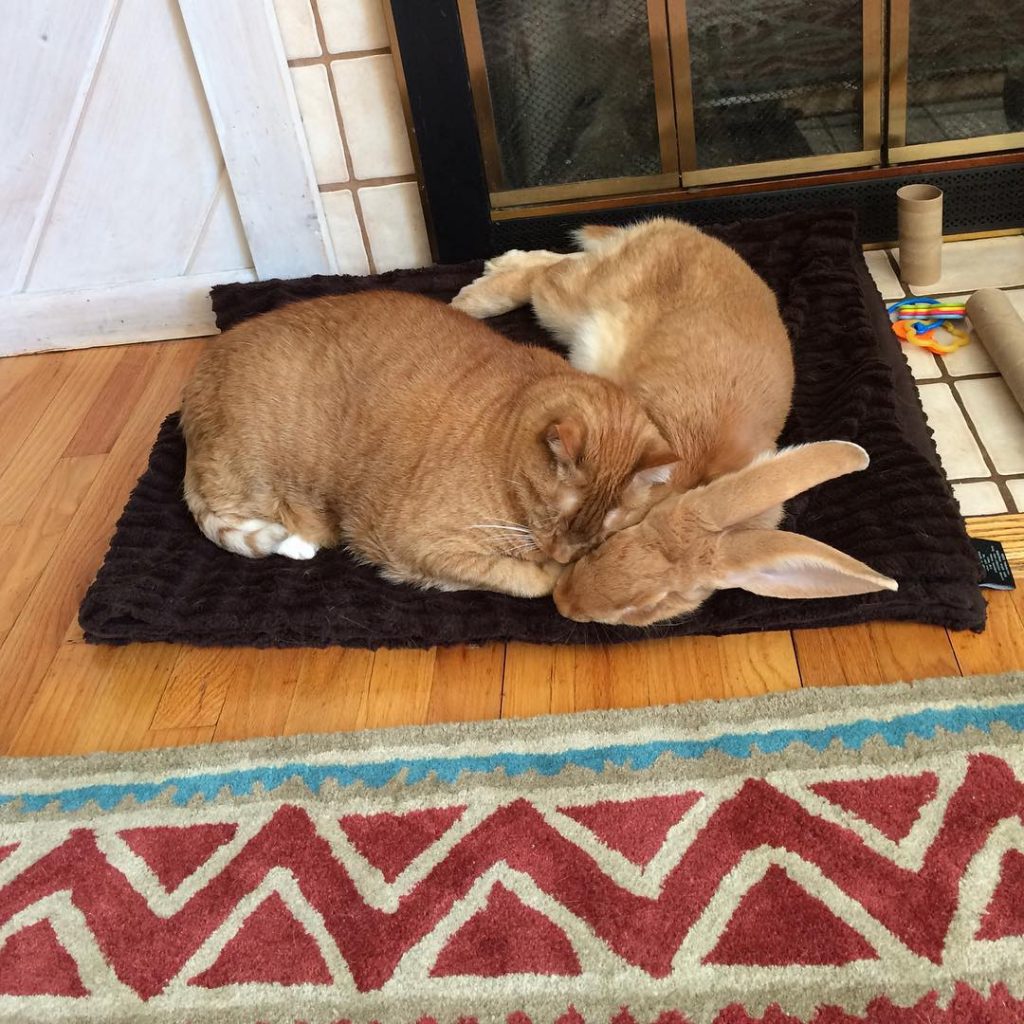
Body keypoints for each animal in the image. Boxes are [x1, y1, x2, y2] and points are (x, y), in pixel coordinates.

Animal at [180, 288, 675, 598]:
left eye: (602, 534)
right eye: (554, 518)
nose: (564, 552)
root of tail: (193, 387)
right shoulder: (422, 544)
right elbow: (534, 582)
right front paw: (547, 569)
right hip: (254, 477)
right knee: (232, 515)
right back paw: (296, 541)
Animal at [450, 216, 897, 622]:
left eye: (654, 604)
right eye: (610, 543)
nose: (566, 604)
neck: (692, 480)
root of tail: (671, 228)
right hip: (569, 306)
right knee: (547, 277)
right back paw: (474, 298)